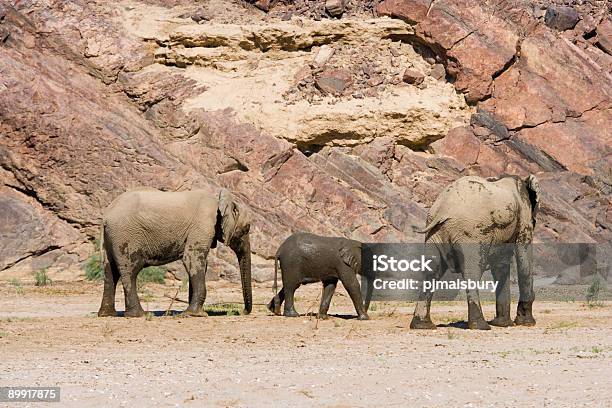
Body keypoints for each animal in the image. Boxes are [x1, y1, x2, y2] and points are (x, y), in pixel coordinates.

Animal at [98, 188, 251, 318]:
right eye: (246, 229)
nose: (243, 312)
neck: (219, 200)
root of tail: (106, 216)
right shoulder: (203, 225)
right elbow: (192, 259)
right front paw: (196, 315)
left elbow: (199, 264)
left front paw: (192, 312)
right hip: (126, 236)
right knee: (131, 270)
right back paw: (139, 315)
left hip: (111, 238)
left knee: (110, 271)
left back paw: (107, 314)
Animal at [412, 174, 540, 330]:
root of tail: (443, 210)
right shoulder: (524, 215)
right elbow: (524, 256)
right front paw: (527, 323)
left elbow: (501, 263)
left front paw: (503, 324)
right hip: (471, 233)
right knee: (472, 272)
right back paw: (481, 326)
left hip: (435, 233)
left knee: (432, 271)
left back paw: (422, 325)